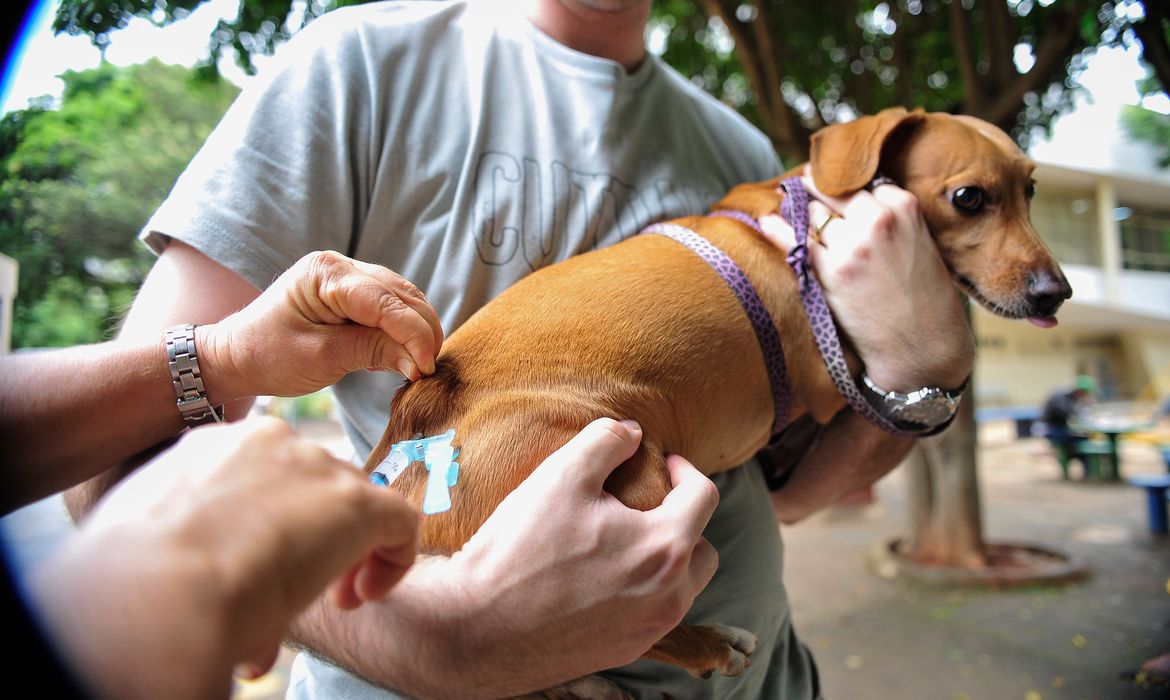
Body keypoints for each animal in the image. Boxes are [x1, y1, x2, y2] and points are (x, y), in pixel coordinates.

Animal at [362, 108, 1071, 692]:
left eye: (1032, 191)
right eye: (969, 198)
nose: (1056, 292)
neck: (801, 216)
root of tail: (416, 424)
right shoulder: (831, 382)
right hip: (636, 474)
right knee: (608, 634)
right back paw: (704, 643)